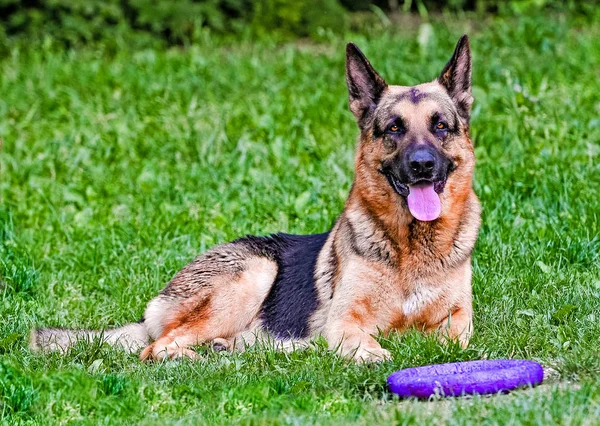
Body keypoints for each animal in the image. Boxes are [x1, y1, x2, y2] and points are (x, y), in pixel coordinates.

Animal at [30, 34, 480, 362]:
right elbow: (366, 344)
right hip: (255, 271)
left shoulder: (458, 324)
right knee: (156, 347)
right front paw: (374, 356)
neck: (412, 248)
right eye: (394, 128)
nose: (422, 165)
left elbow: (451, 342)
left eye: (440, 126)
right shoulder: (345, 322)